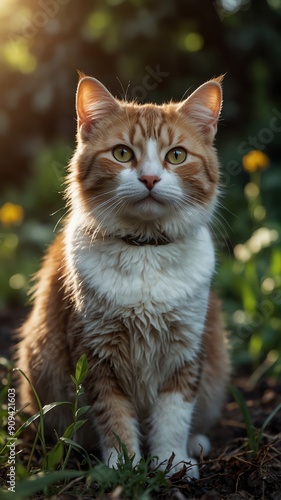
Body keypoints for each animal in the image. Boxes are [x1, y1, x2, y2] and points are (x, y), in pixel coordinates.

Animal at [16, 73, 229, 476]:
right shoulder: (95, 353)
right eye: (122, 154)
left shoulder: (185, 350)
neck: (144, 250)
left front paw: (171, 462)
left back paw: (198, 443)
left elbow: (173, 417)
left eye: (176, 155)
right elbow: (113, 418)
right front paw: (123, 468)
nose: (149, 179)